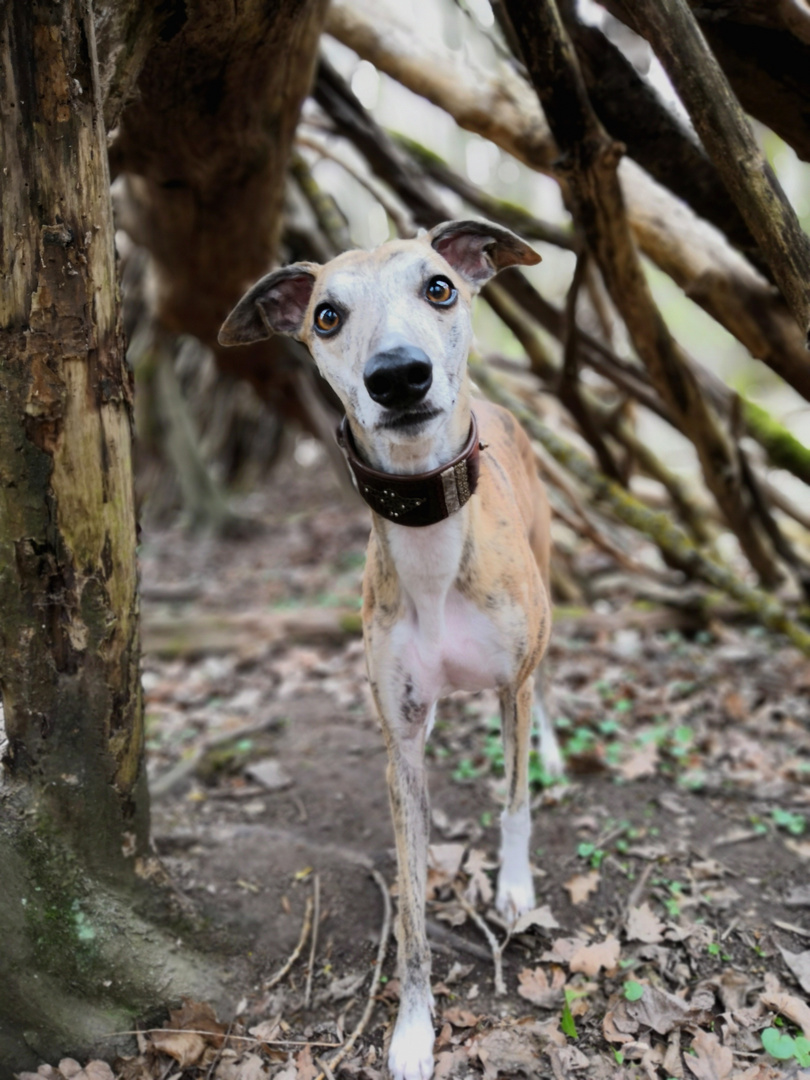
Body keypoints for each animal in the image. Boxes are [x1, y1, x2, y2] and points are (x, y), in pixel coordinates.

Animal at [219, 219, 557, 1080]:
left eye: (438, 286)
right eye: (326, 315)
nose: (398, 376)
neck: (430, 538)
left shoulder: (509, 683)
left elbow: (514, 801)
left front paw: (515, 891)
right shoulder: (398, 744)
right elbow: (408, 902)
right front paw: (411, 1030)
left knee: (544, 690)